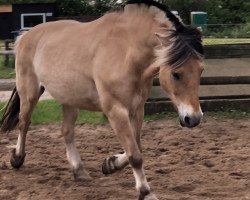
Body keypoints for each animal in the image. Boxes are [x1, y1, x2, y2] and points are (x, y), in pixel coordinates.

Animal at [0, 0, 204, 199]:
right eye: (176, 74)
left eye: (201, 70)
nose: (193, 118)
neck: (126, 50)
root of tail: (25, 36)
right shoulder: (116, 110)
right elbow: (135, 155)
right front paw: (145, 192)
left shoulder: (137, 109)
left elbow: (136, 146)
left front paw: (110, 164)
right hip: (30, 93)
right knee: (24, 123)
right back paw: (17, 158)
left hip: (70, 100)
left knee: (67, 131)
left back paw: (79, 170)